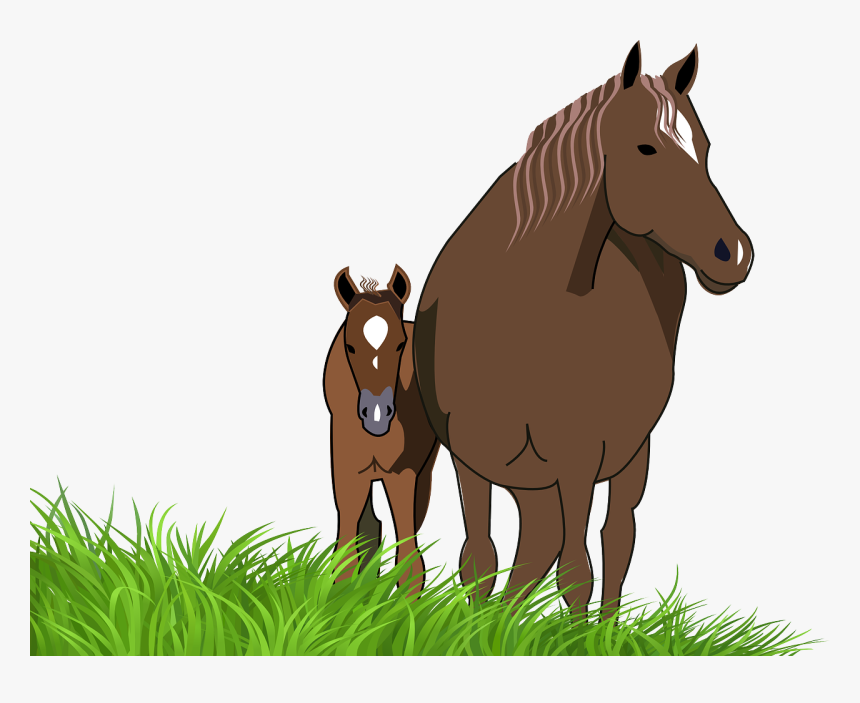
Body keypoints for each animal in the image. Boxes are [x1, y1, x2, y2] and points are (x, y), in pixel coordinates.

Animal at [324, 264, 440, 596]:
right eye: (350, 346)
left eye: (400, 344)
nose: (377, 415)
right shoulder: (347, 470)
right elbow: (347, 551)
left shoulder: (403, 472)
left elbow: (410, 558)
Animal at [412, 43, 754, 619]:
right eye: (646, 147)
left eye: (704, 146)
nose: (732, 252)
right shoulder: (468, 456)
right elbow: (480, 559)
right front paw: (484, 630)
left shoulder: (579, 457)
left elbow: (577, 572)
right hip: (530, 476)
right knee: (540, 542)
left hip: (629, 454)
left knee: (615, 538)